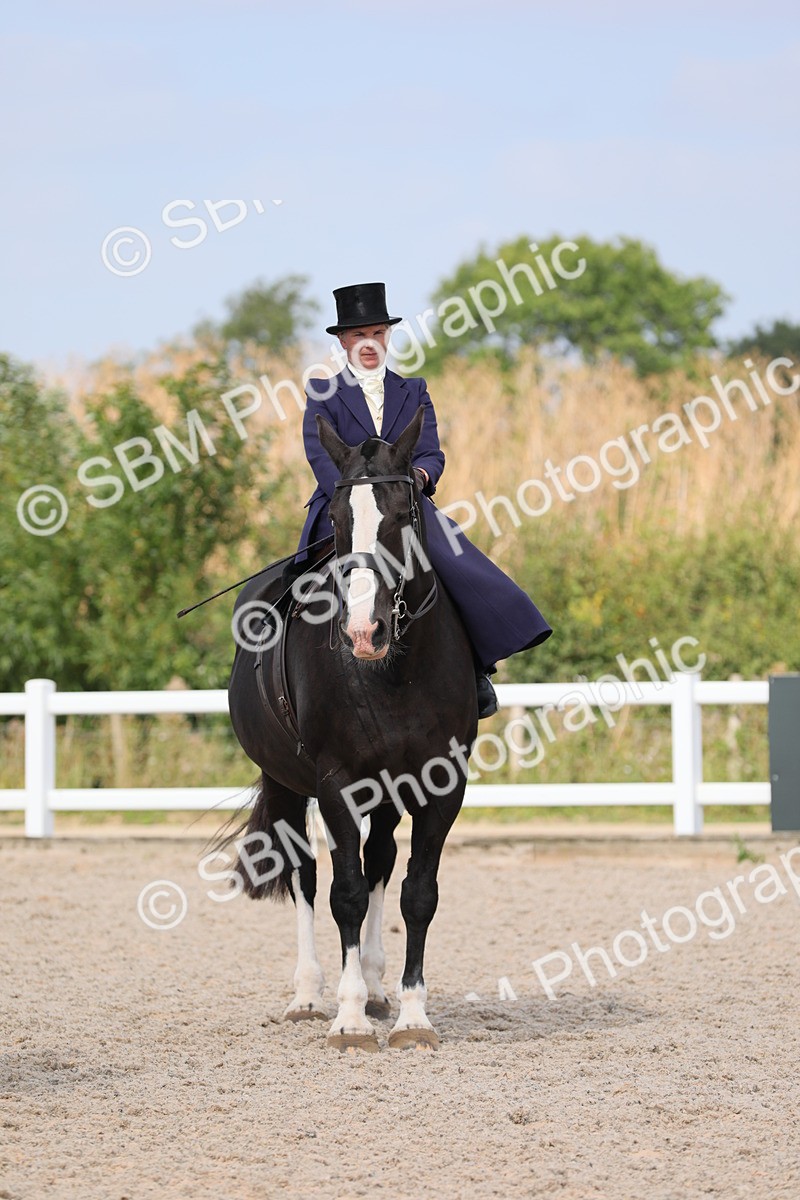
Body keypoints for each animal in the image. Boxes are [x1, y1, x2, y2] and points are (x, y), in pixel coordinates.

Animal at [226, 406, 478, 1051]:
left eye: (402, 516)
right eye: (338, 521)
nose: (365, 633)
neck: (391, 673)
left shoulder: (441, 782)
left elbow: (416, 893)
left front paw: (412, 1016)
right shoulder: (335, 782)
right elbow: (345, 894)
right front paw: (350, 1018)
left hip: (386, 791)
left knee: (380, 858)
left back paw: (377, 985)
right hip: (287, 783)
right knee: (307, 875)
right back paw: (309, 995)